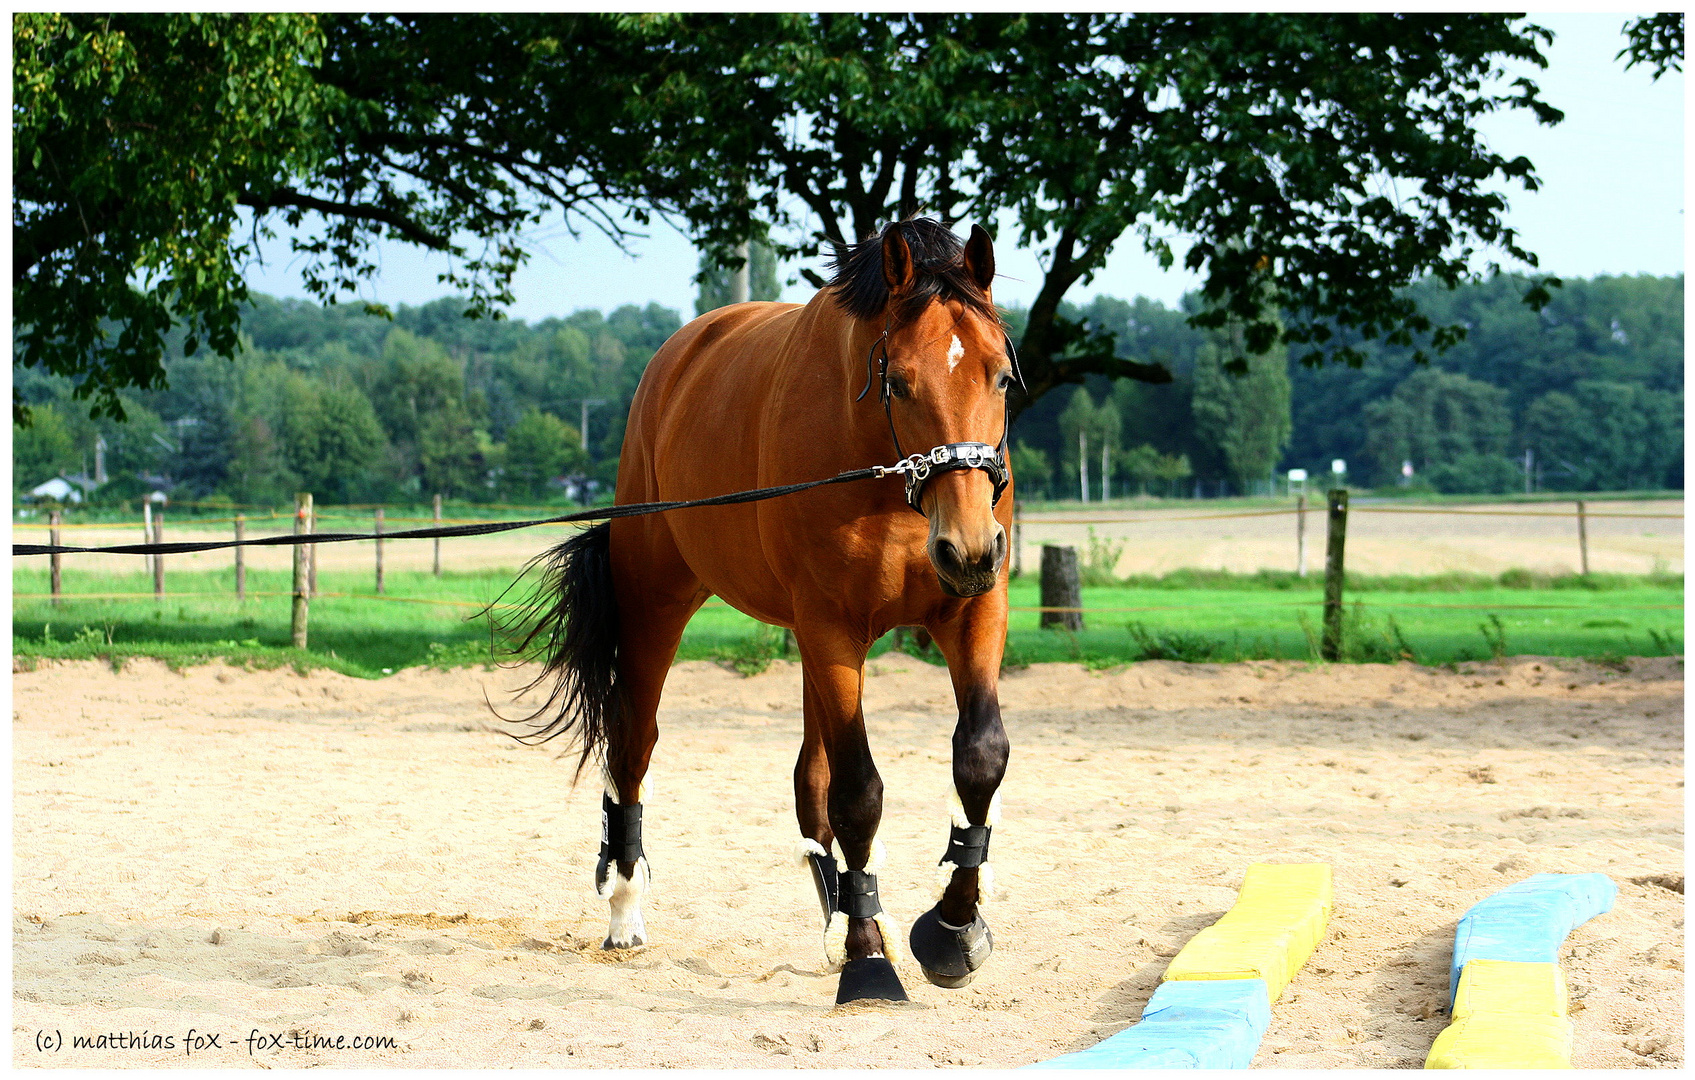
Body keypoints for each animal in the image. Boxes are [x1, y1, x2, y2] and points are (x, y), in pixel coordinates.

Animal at [515, 217, 1010, 1003]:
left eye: (999, 375)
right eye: (898, 381)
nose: (967, 548)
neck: (882, 474)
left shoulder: (971, 612)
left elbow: (979, 757)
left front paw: (952, 931)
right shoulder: (830, 625)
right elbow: (859, 793)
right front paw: (870, 962)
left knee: (809, 781)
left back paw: (841, 915)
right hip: (658, 603)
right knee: (633, 744)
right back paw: (625, 909)